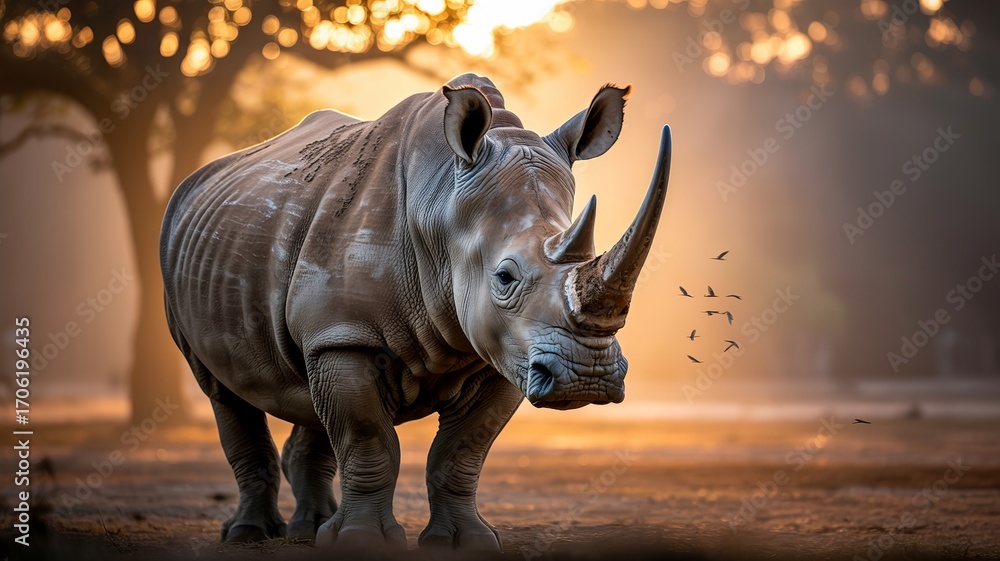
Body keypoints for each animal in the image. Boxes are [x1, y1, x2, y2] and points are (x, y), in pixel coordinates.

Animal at [160, 73, 670, 550]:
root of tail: (197, 180)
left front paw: (468, 541)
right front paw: (361, 541)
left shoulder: (505, 353)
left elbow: (461, 452)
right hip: (183, 256)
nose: (587, 376)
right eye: (504, 278)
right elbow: (367, 440)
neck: (441, 204)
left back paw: (311, 530)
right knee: (223, 391)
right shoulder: (348, 334)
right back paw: (249, 534)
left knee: (309, 391)